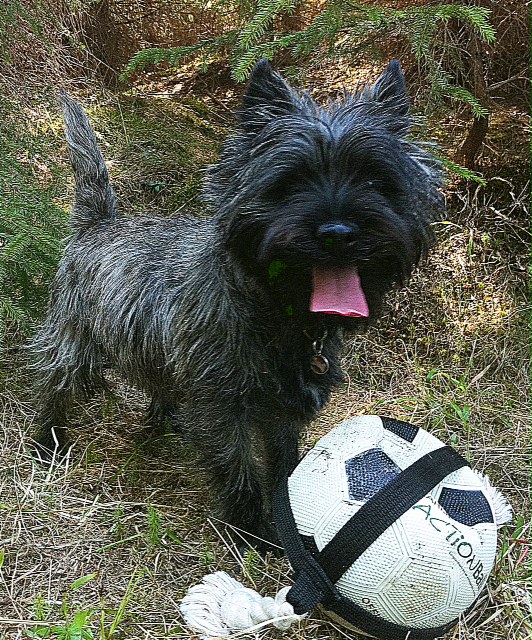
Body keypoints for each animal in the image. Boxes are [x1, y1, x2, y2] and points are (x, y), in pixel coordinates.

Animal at [31, 60, 443, 550]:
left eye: (375, 180)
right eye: (290, 182)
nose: (339, 233)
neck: (277, 315)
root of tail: (97, 224)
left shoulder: (284, 410)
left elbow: (284, 461)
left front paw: (287, 513)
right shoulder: (223, 406)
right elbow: (238, 468)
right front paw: (253, 531)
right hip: (75, 343)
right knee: (56, 384)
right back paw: (47, 441)